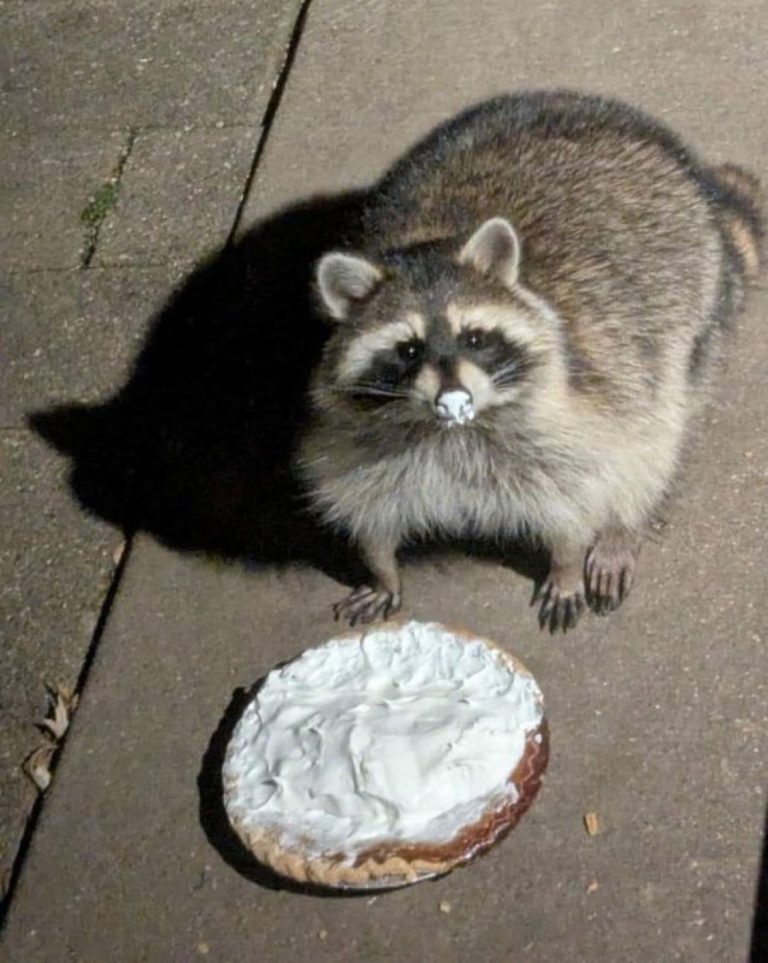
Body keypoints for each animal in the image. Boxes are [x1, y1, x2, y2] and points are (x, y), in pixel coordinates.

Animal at [297, 90, 763, 631]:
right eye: (409, 349)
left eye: (474, 338)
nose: (452, 397)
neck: (455, 433)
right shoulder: (358, 433)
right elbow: (362, 499)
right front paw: (380, 570)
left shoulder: (583, 409)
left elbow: (583, 488)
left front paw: (567, 560)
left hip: (692, 324)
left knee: (656, 438)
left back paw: (623, 527)